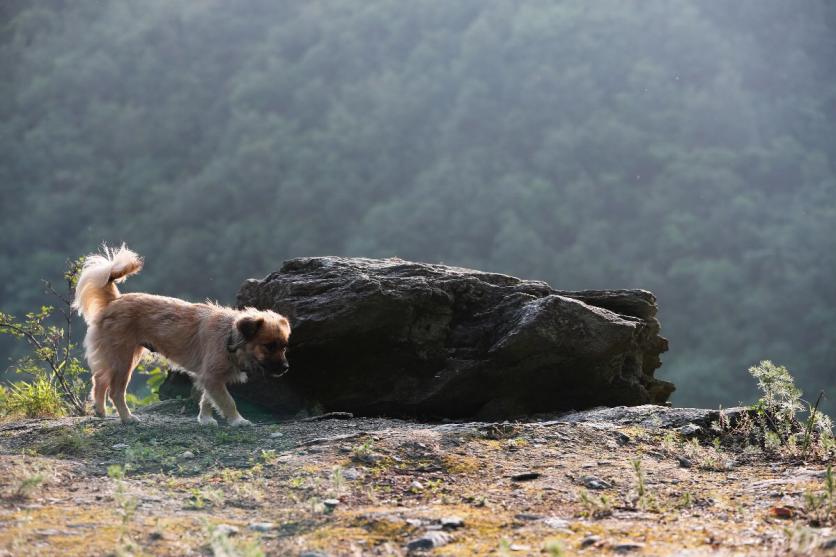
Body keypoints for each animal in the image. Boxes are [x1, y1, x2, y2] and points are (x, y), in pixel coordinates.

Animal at [72, 244, 294, 426]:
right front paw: (237, 421)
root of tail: (114, 301)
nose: (285, 368)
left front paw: (205, 419)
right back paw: (127, 418)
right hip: (124, 358)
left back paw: (100, 411)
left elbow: (207, 399)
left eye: (284, 346)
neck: (230, 336)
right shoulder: (212, 377)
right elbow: (227, 401)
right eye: (269, 346)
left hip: (120, 357)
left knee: (99, 379)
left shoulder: (208, 377)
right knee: (115, 391)